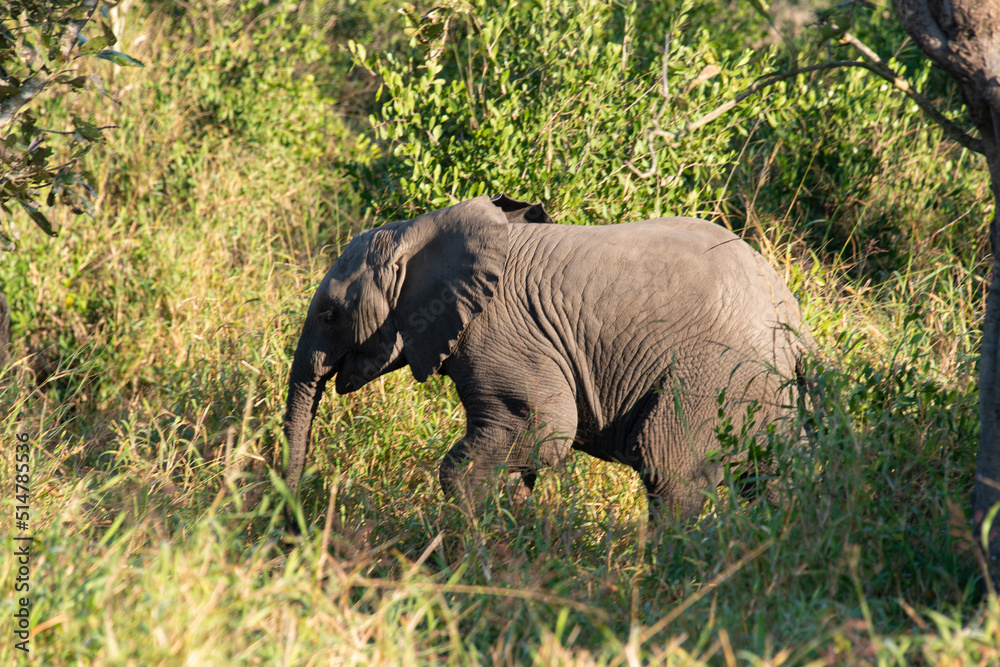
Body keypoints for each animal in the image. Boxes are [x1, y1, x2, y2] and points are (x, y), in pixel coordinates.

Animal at [281, 195, 813, 521]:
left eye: (330, 314)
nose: (291, 520)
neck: (416, 230)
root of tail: (794, 320)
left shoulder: (501, 331)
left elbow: (545, 429)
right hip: (769, 394)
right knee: (777, 479)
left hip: (713, 375)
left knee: (670, 475)